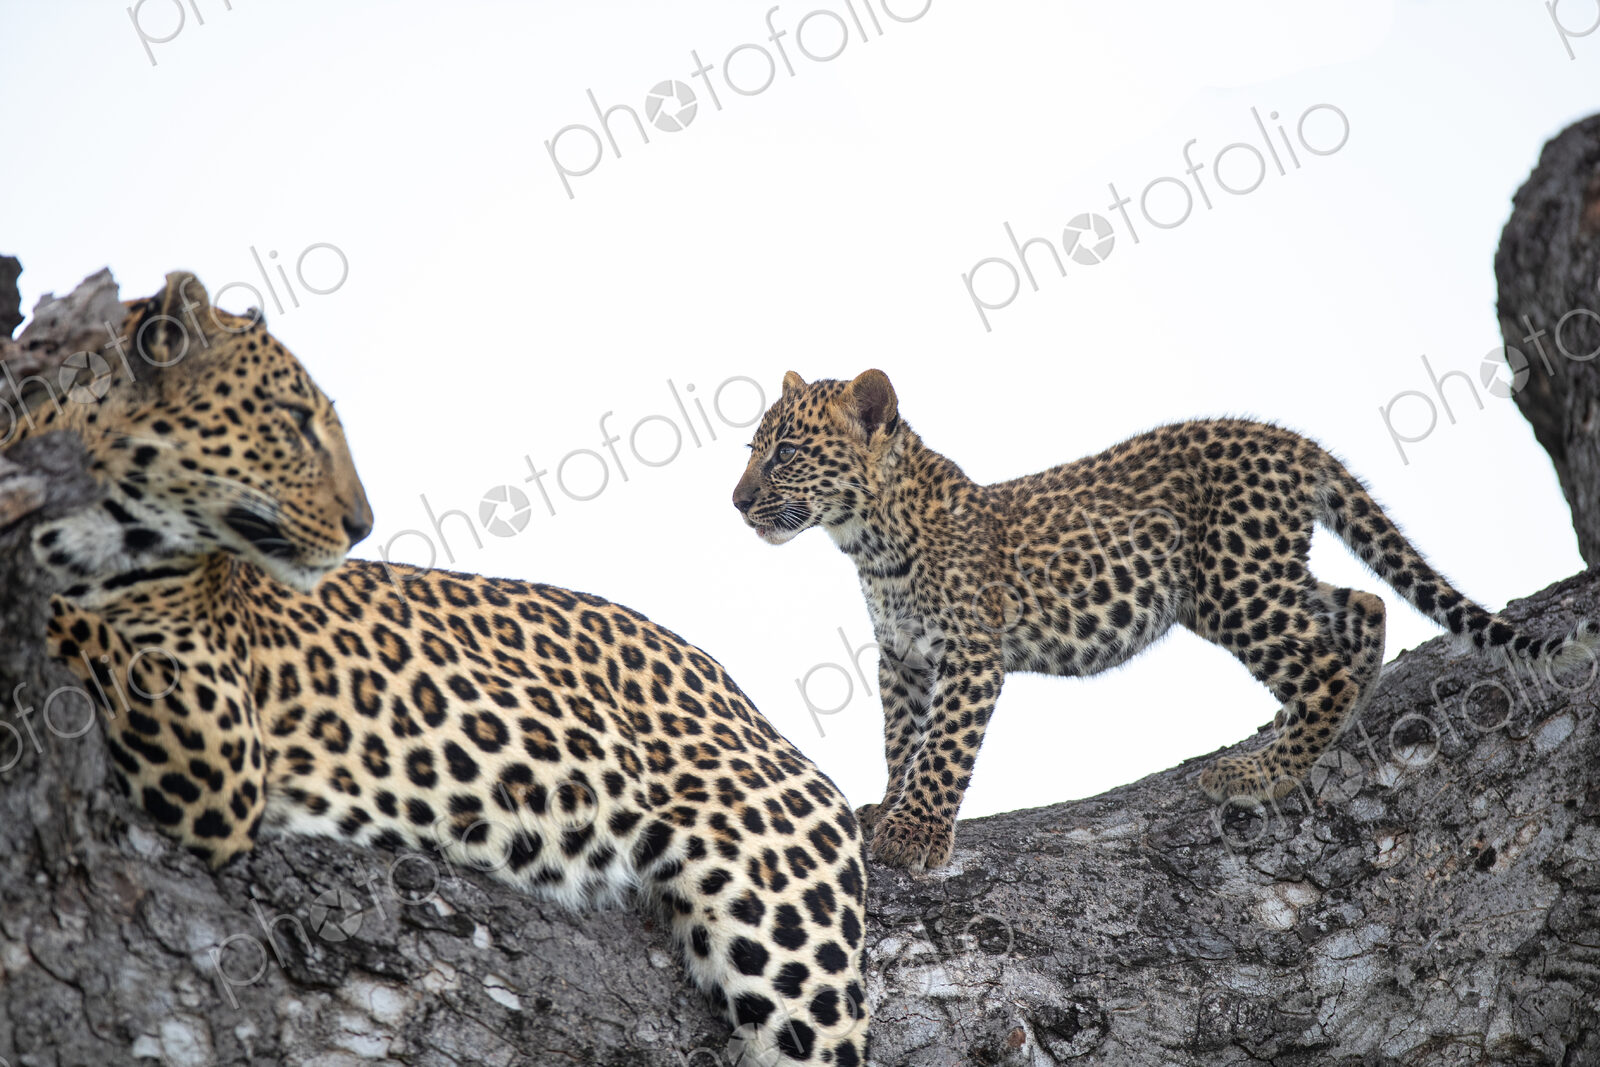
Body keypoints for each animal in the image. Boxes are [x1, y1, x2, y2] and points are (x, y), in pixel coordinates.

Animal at [10, 273, 869, 1066]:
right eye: (294, 421)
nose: (360, 524)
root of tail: (748, 704)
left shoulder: (215, 734)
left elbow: (77, 619)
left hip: (783, 921)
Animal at [731, 368, 1600, 871]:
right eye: (752, 449)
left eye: (785, 452)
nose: (736, 501)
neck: (868, 540)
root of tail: (1290, 440)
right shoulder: (902, 657)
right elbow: (901, 738)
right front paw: (888, 805)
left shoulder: (968, 653)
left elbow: (942, 747)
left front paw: (913, 833)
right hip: (1238, 583)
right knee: (1363, 604)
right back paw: (1334, 713)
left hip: (1234, 583)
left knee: (1323, 658)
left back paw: (1262, 770)